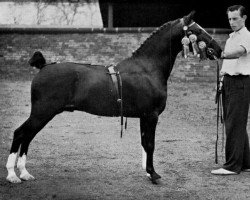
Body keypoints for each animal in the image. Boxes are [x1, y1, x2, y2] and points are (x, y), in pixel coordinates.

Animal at [5, 10, 221, 183]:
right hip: (42, 112)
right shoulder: (151, 115)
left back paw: (25, 173)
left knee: (27, 136)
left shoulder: (144, 116)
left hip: (44, 114)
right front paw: (154, 175)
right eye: (197, 30)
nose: (218, 49)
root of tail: (43, 66)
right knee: (20, 133)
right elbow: (150, 144)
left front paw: (148, 172)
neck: (147, 69)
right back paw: (13, 175)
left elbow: (145, 143)